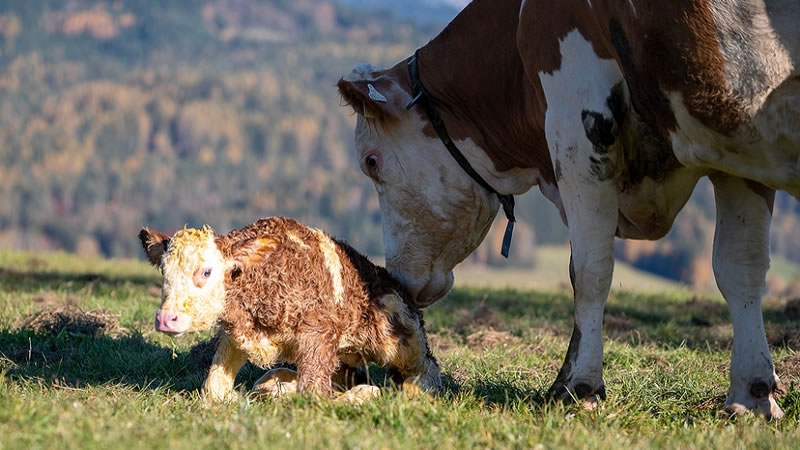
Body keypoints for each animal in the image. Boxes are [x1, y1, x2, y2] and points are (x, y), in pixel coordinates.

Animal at [138, 218, 438, 400]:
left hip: (400, 334)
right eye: (164, 271)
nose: (166, 319)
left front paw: (365, 395)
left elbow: (314, 394)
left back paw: (415, 389)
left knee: (428, 367)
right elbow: (214, 388)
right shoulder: (237, 332)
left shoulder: (319, 334)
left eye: (206, 271)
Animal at [338, 0, 800, 418]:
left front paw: (578, 387)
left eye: (371, 162)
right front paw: (752, 395)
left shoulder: (577, 120)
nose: (396, 278)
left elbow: (590, 270)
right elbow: (740, 269)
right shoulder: (736, 152)